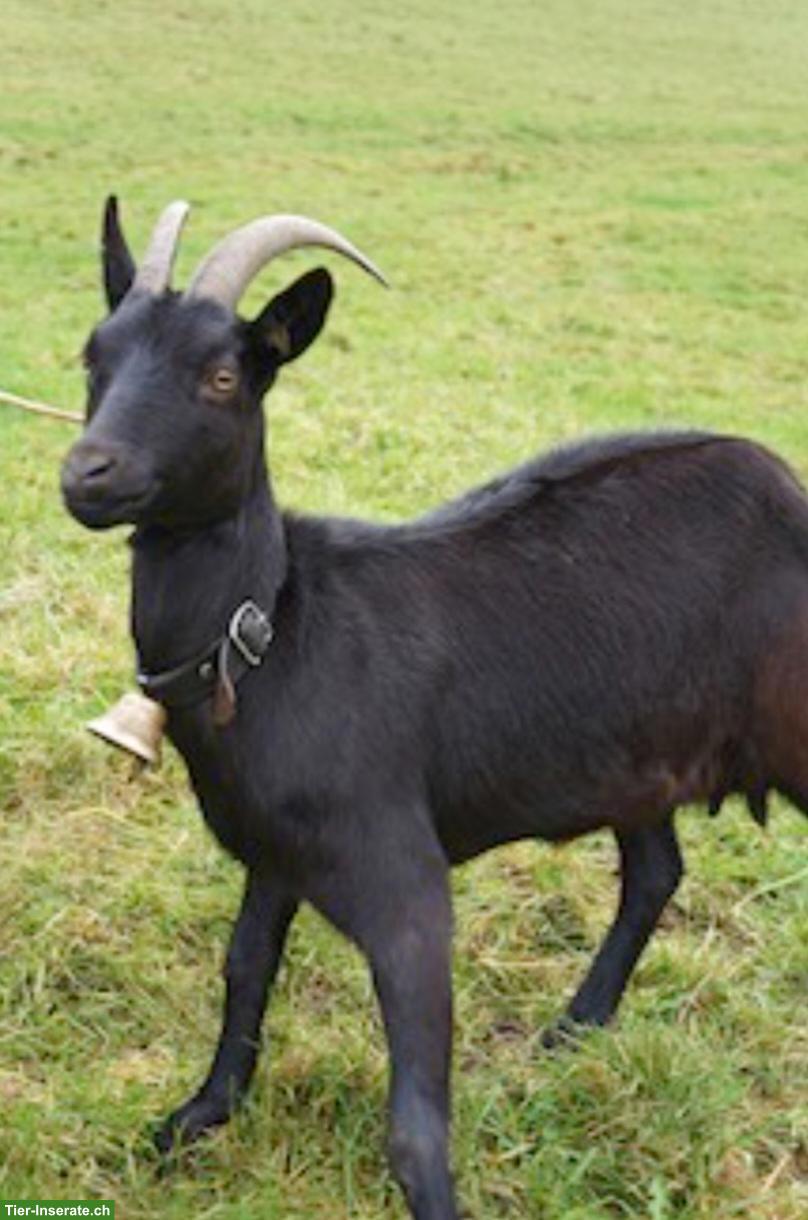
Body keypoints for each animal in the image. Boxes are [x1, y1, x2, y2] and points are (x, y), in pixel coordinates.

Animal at [62, 198, 808, 1220]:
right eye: (93, 357)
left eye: (221, 376)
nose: (87, 472)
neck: (272, 631)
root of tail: (786, 486)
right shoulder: (275, 851)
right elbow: (244, 969)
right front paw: (198, 1116)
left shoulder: (403, 880)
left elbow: (414, 1112)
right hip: (633, 755)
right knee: (656, 870)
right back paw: (575, 1029)